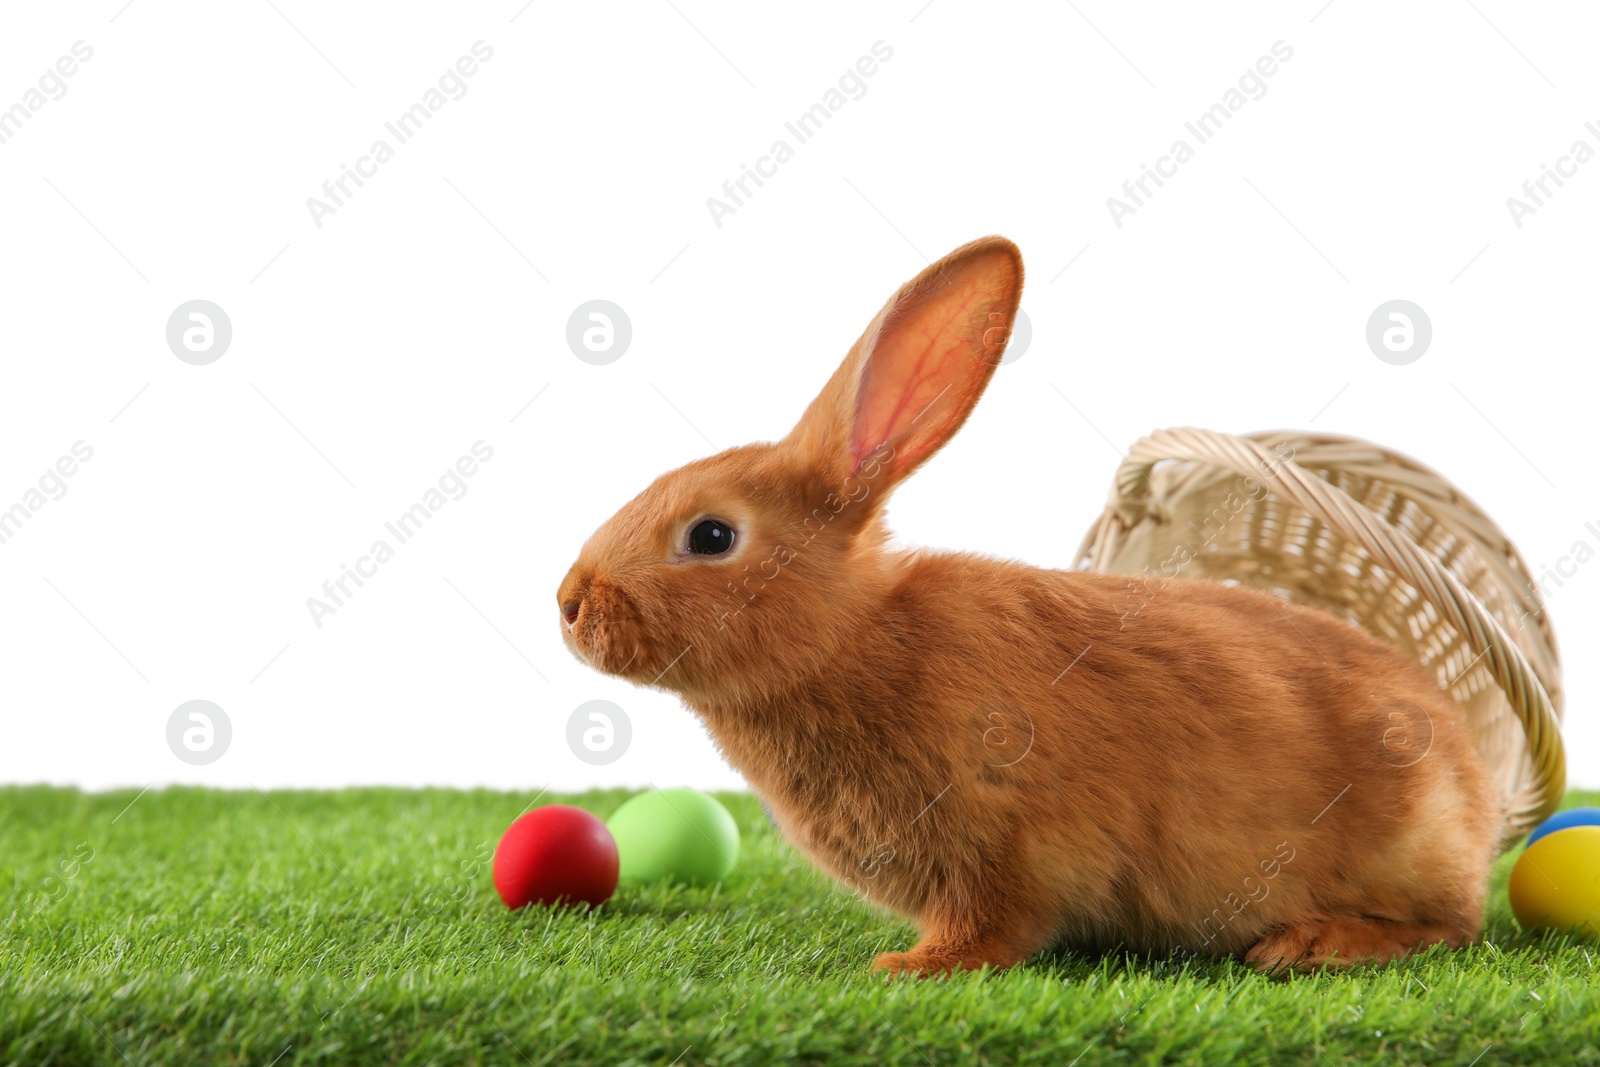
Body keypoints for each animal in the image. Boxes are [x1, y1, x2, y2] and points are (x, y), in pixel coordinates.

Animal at [560, 235, 1497, 979]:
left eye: (712, 535)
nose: (568, 604)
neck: (849, 639)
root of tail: (1475, 790)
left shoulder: (1003, 839)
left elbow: (990, 924)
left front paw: (909, 966)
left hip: (1409, 847)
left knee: (1450, 927)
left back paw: (1314, 943)